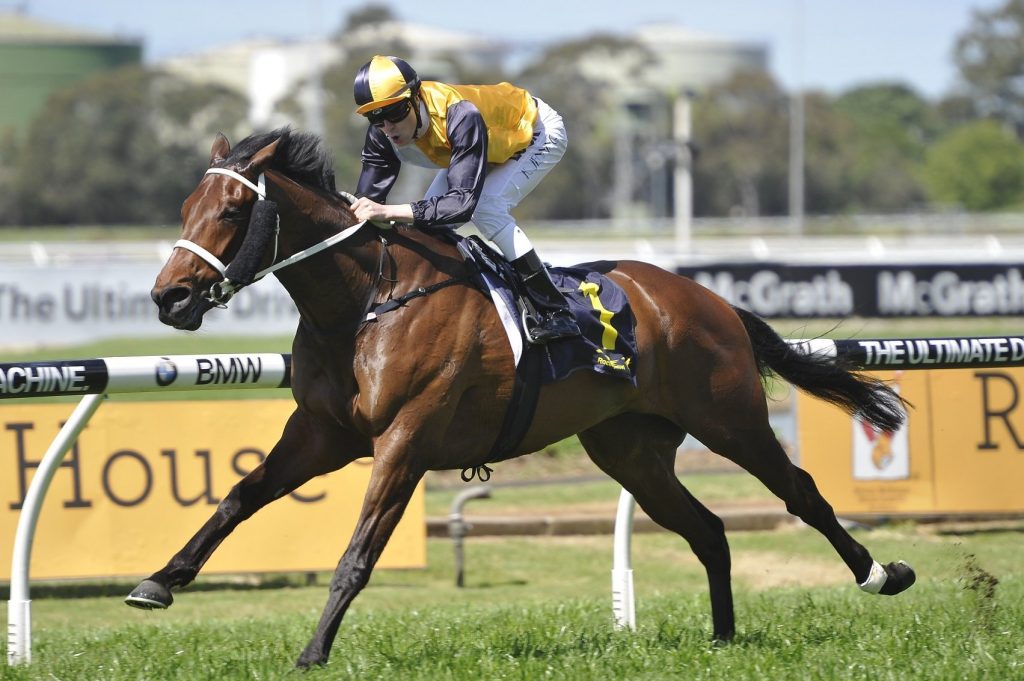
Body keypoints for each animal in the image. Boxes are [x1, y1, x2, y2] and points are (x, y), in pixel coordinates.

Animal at [131, 128, 916, 668]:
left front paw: (313, 651)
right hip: (631, 450)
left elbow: (358, 553)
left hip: (729, 418)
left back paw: (882, 573)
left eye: (233, 210)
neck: (364, 302)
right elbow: (238, 497)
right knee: (708, 529)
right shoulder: (322, 433)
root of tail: (711, 299)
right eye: (186, 206)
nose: (169, 298)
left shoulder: (405, 438)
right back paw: (722, 638)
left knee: (800, 492)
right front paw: (159, 582)